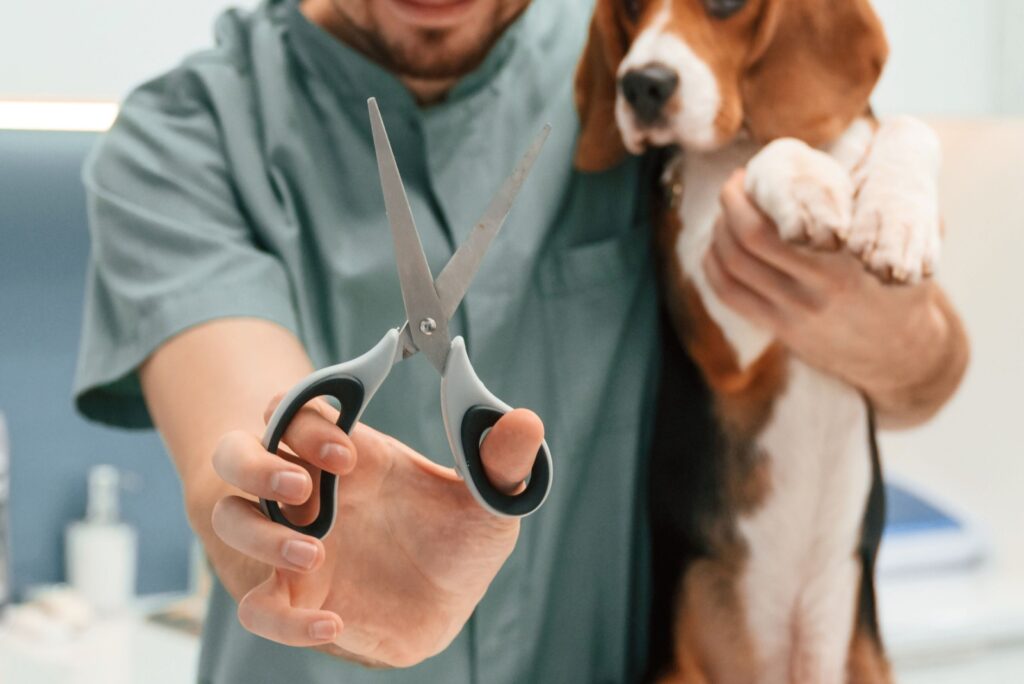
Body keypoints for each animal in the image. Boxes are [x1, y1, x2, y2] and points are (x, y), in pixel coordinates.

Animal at [577, 1, 942, 684]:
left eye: (725, 6)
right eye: (631, 8)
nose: (641, 85)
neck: (739, 134)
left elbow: (910, 128)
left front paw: (896, 219)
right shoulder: (725, 342)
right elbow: (773, 153)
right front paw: (803, 182)